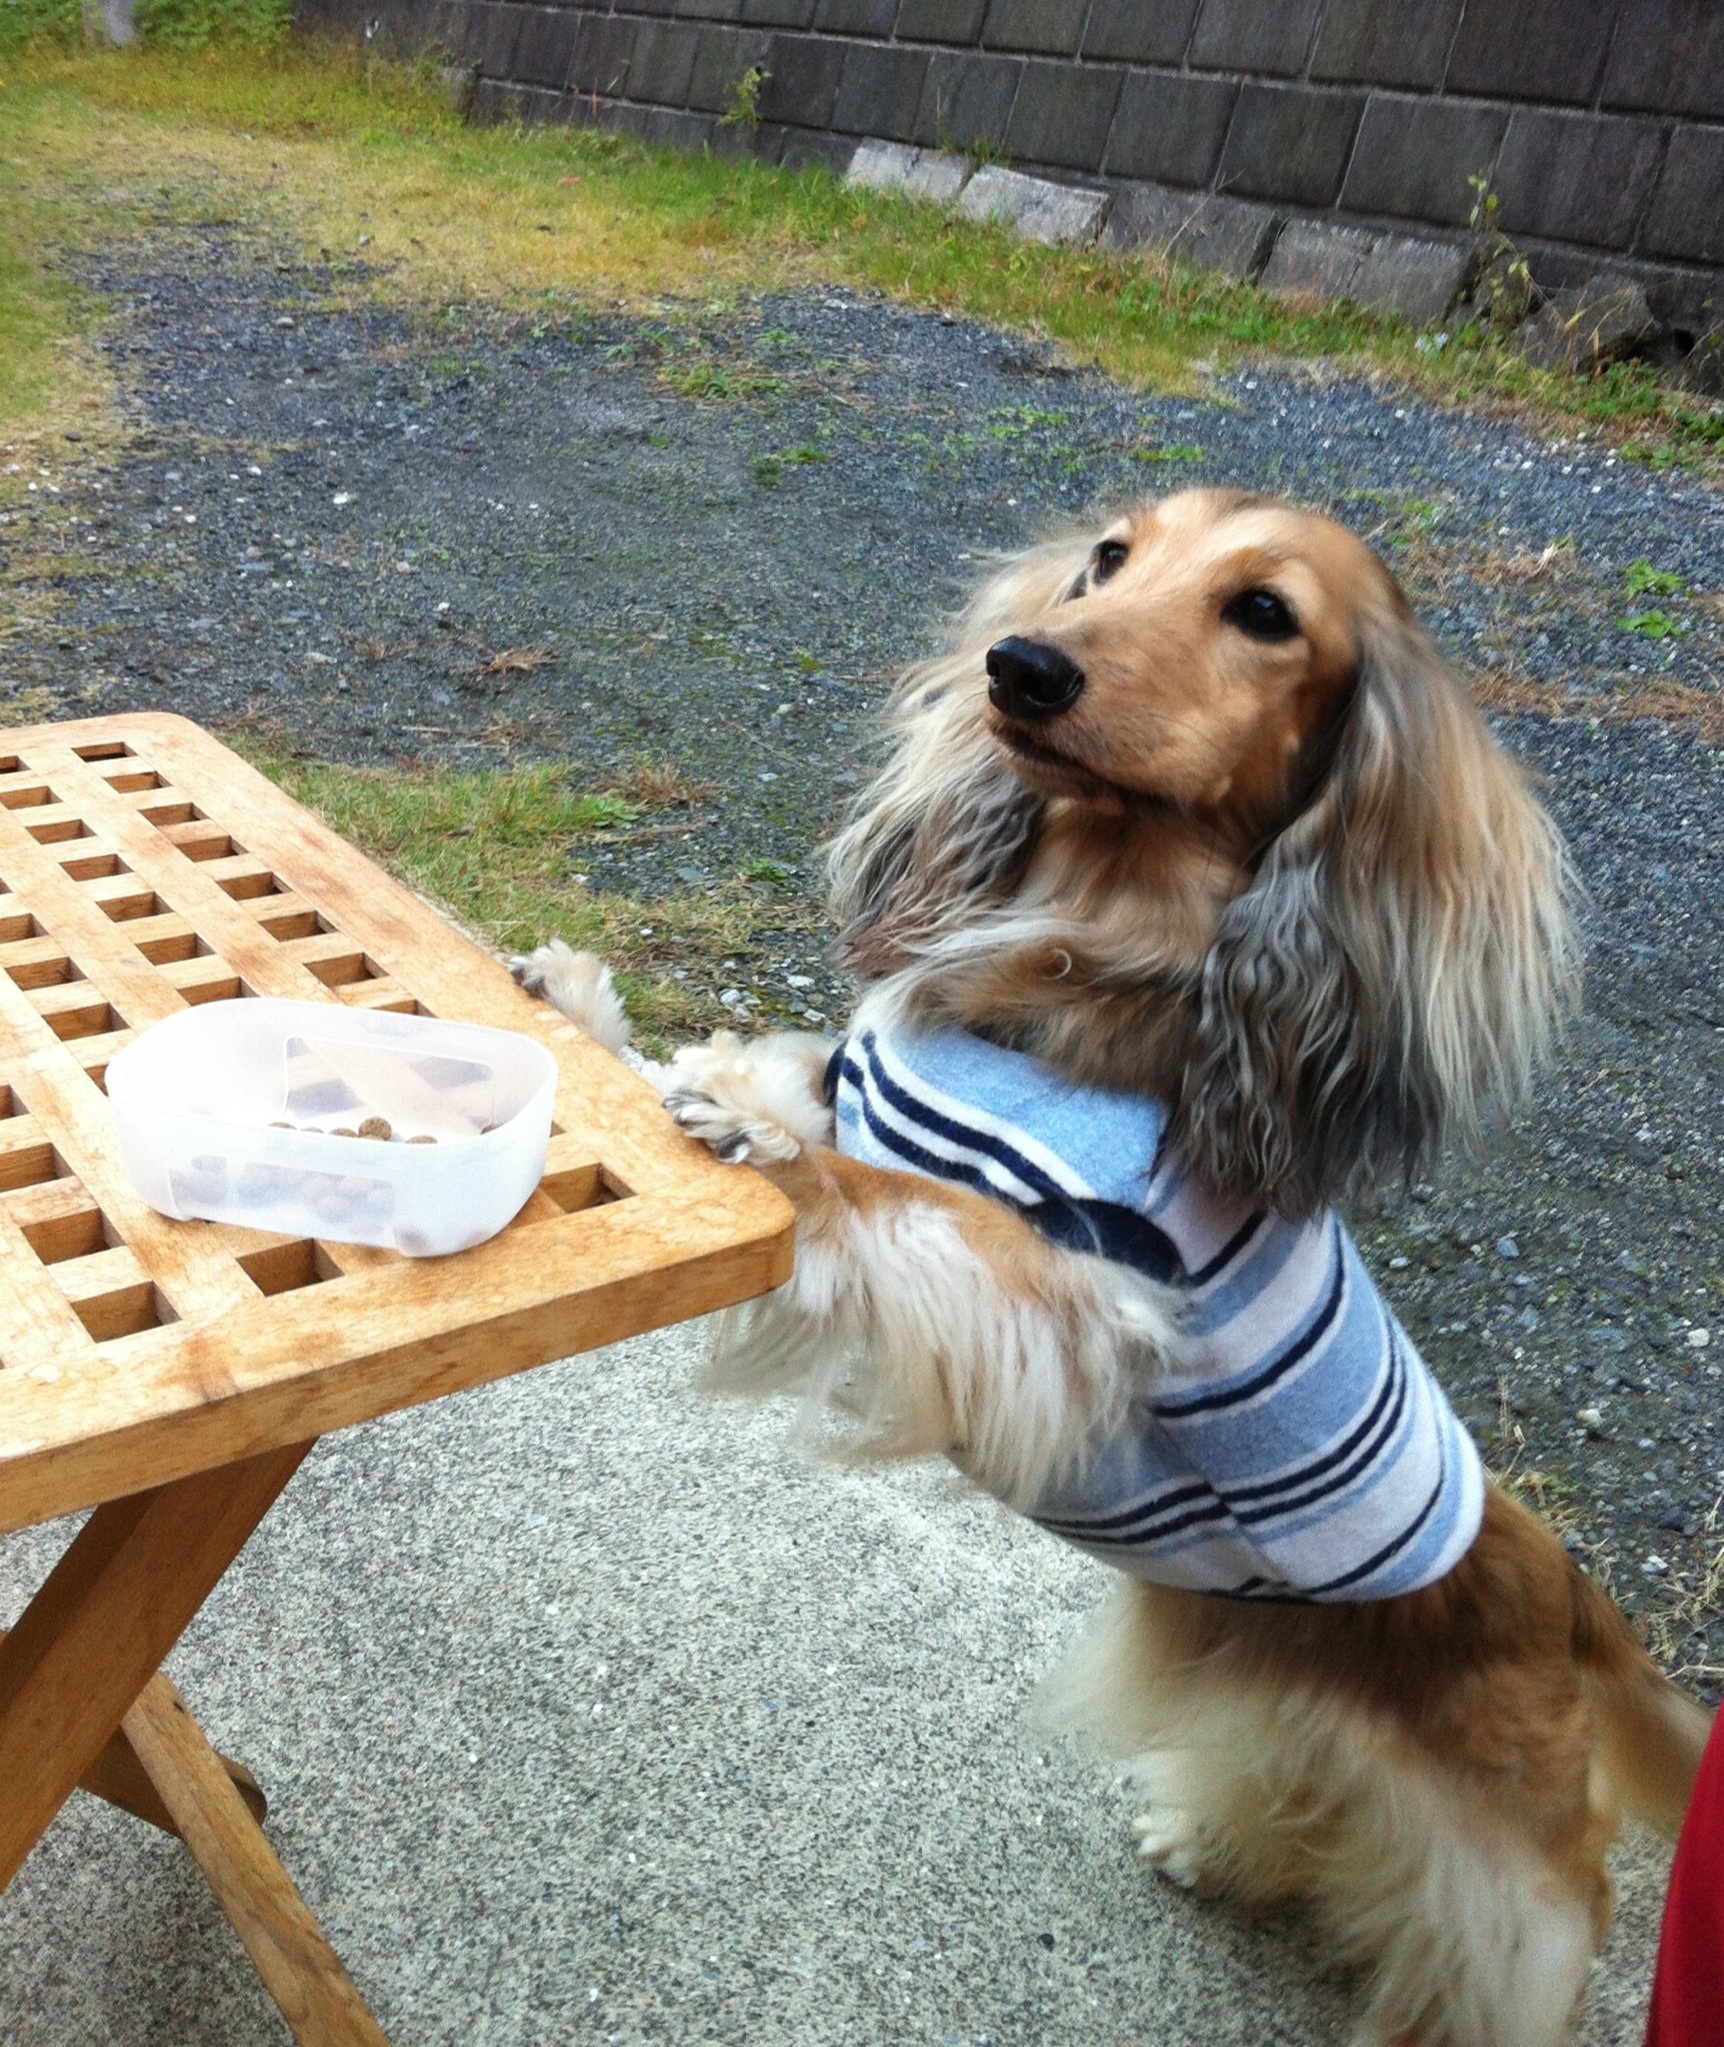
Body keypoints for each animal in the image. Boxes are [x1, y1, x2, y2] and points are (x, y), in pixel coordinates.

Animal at [513, 489, 1712, 2046]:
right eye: (1108, 558)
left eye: (1265, 612)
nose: (1022, 666)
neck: (1078, 960)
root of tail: (1571, 1591)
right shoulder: (886, 1109)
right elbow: (775, 1093)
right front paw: (592, 1019)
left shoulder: (1068, 1304)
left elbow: (877, 1190)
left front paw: (750, 1136)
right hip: (1283, 1700)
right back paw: (1215, 1844)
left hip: (1496, 1860)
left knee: (1534, 1920)